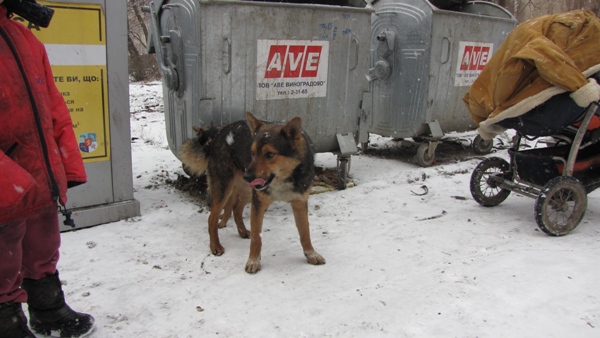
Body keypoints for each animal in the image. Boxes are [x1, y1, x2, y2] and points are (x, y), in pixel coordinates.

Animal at [179, 112, 326, 274]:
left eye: (269, 154)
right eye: (252, 153)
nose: (247, 176)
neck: (283, 179)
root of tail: (218, 135)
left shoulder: (299, 203)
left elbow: (305, 232)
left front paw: (311, 254)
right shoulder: (258, 204)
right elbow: (257, 238)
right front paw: (253, 261)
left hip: (248, 191)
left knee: (236, 209)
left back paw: (242, 231)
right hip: (225, 188)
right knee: (212, 218)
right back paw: (215, 246)